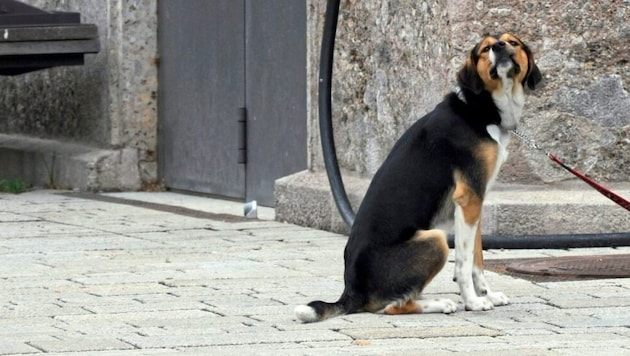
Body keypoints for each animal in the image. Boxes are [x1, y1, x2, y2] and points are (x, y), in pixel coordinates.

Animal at [296, 33, 544, 322]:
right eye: (486, 49)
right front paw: (473, 302)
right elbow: (464, 264)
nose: (499, 47)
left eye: (513, 42)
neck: (479, 109)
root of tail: (351, 292)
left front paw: (487, 295)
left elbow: (477, 261)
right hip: (436, 239)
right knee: (392, 306)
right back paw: (441, 304)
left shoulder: (475, 204)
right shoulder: (469, 198)